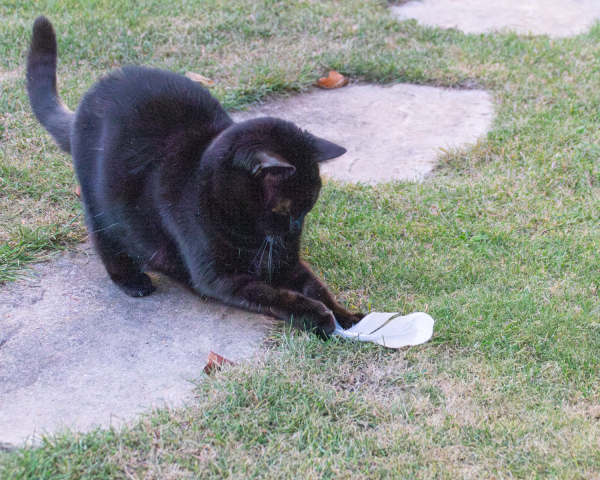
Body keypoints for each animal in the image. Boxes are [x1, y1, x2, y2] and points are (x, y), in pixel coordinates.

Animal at [27, 16, 366, 336]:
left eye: (310, 206)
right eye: (284, 209)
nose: (295, 229)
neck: (247, 231)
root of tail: (100, 86)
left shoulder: (286, 261)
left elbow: (315, 285)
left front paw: (349, 317)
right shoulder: (221, 278)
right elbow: (275, 296)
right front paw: (319, 316)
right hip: (99, 203)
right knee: (106, 241)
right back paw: (133, 281)